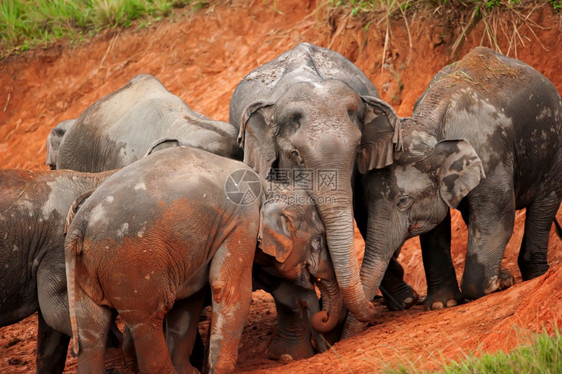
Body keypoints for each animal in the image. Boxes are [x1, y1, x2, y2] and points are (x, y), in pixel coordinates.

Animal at [65, 146, 336, 374]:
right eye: (318, 240)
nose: (322, 318)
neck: (267, 186)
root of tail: (79, 225)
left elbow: (189, 300)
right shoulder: (243, 221)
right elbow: (230, 289)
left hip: (86, 272)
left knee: (91, 331)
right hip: (131, 265)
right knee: (147, 321)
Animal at [342, 46, 560, 336]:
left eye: (403, 201)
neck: (430, 122)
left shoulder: (489, 155)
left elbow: (497, 216)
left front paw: (497, 284)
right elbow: (435, 229)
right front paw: (442, 304)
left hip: (554, 147)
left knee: (544, 205)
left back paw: (536, 274)